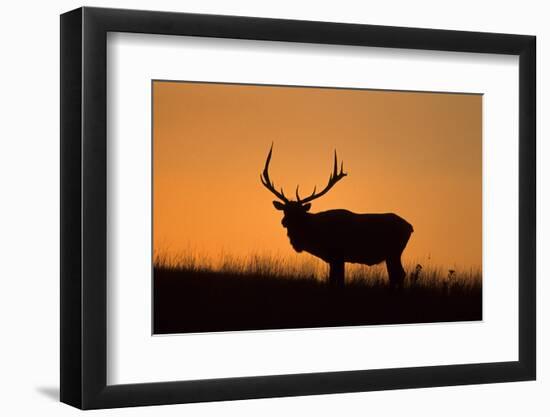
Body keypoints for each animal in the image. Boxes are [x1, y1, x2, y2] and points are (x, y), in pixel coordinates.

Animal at [262, 145, 414, 288]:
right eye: (285, 210)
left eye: (299, 212)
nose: (284, 222)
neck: (316, 235)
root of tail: (410, 227)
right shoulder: (332, 259)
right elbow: (332, 280)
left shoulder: (338, 255)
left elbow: (339, 281)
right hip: (391, 254)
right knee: (396, 275)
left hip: (394, 251)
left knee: (399, 274)